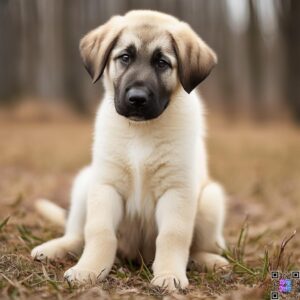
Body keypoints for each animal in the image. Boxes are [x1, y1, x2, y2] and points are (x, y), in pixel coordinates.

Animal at [30, 9, 229, 290]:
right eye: (125, 57)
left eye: (162, 63)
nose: (137, 99)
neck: (140, 132)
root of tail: (137, 256)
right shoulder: (106, 186)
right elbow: (99, 232)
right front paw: (89, 270)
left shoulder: (176, 191)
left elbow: (173, 236)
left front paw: (169, 275)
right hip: (85, 183)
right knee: (77, 235)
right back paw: (53, 249)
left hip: (211, 199)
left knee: (197, 247)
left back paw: (209, 261)